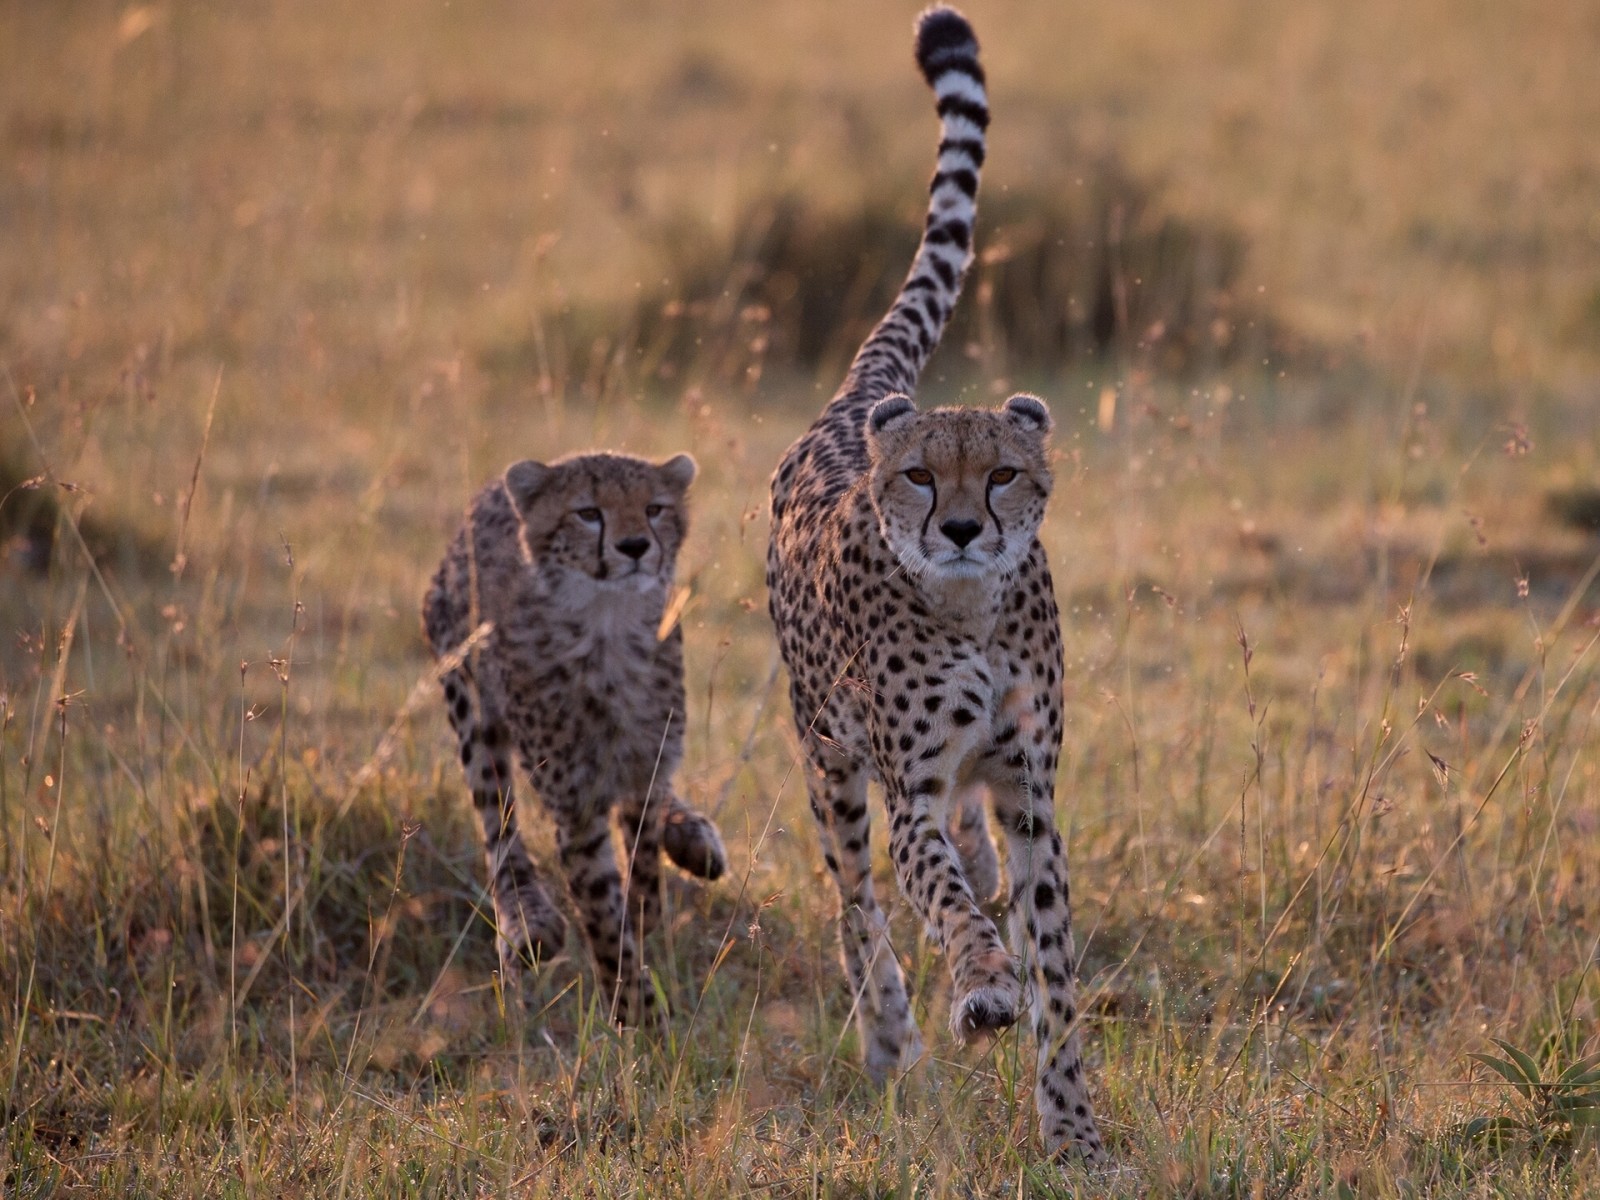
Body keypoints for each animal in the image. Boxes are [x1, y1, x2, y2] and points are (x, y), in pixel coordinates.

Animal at [422, 451, 729, 1024]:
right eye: (588, 513)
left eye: (654, 508)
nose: (634, 546)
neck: (606, 626)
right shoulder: (577, 805)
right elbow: (603, 914)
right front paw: (637, 1013)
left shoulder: (643, 768)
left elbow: (644, 866)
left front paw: (643, 925)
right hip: (468, 694)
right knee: (497, 822)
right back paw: (528, 920)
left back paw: (694, 839)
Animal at [761, 2, 1100, 1164]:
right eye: (920, 476)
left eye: (1001, 473)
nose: (958, 527)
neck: (968, 609)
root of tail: (860, 405)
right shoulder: (903, 785)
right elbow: (948, 909)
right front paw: (984, 990)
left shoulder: (1030, 789)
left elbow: (1053, 964)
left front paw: (1074, 1134)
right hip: (827, 763)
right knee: (856, 907)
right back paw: (892, 1042)